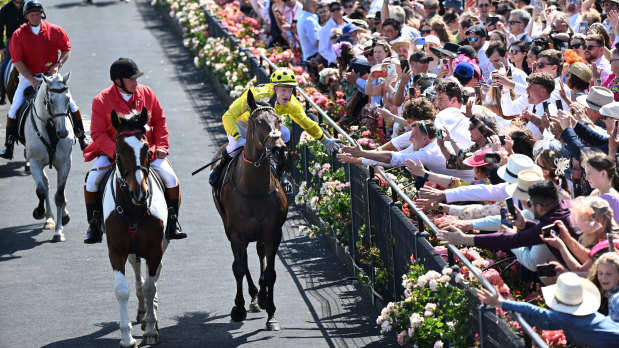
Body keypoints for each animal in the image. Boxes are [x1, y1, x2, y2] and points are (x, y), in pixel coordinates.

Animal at [103, 107, 168, 346]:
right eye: (119, 152)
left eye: (147, 149)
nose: (140, 193)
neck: (134, 209)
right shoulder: (116, 250)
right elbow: (123, 290)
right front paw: (126, 337)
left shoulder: (155, 248)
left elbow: (150, 286)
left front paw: (150, 329)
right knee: (138, 270)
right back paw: (142, 312)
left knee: (152, 277)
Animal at [213, 89, 288, 332]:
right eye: (258, 123)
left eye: (279, 120)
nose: (279, 149)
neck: (254, 188)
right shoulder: (236, 233)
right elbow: (238, 266)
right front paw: (238, 308)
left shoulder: (273, 233)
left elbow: (271, 273)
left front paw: (271, 313)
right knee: (244, 259)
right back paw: (254, 296)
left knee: (259, 254)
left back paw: (260, 297)